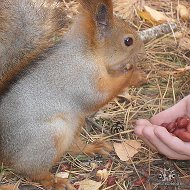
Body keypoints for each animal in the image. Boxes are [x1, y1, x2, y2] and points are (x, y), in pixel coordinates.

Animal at [0, 0, 145, 189]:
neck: (90, 52)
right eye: (128, 41)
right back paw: (54, 181)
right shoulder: (83, 77)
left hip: (75, 123)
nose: (142, 47)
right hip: (49, 137)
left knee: (71, 147)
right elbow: (98, 96)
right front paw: (132, 74)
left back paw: (92, 148)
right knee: (32, 172)